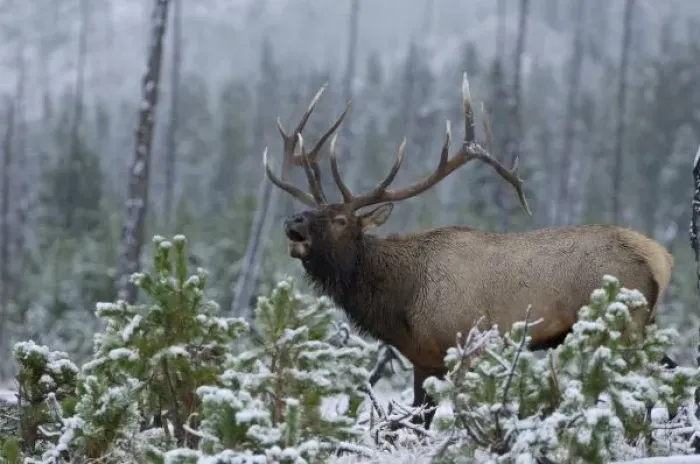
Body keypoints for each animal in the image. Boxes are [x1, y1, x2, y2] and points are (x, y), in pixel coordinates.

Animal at [262, 73, 675, 429]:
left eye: (341, 220)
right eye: (313, 211)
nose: (292, 222)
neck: (401, 301)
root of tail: (660, 258)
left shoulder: (468, 346)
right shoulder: (423, 359)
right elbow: (419, 419)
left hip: (625, 324)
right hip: (644, 325)